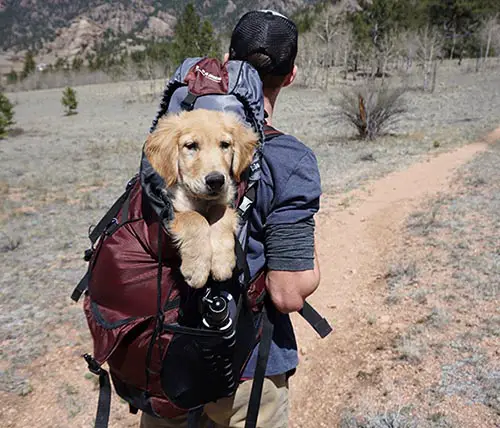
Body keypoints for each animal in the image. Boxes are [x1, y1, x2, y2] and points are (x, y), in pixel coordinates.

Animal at [144, 108, 258, 288]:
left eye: (225, 145)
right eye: (191, 146)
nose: (216, 180)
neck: (202, 200)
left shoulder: (225, 201)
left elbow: (220, 213)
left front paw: (221, 263)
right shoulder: (171, 211)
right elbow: (195, 217)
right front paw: (197, 269)